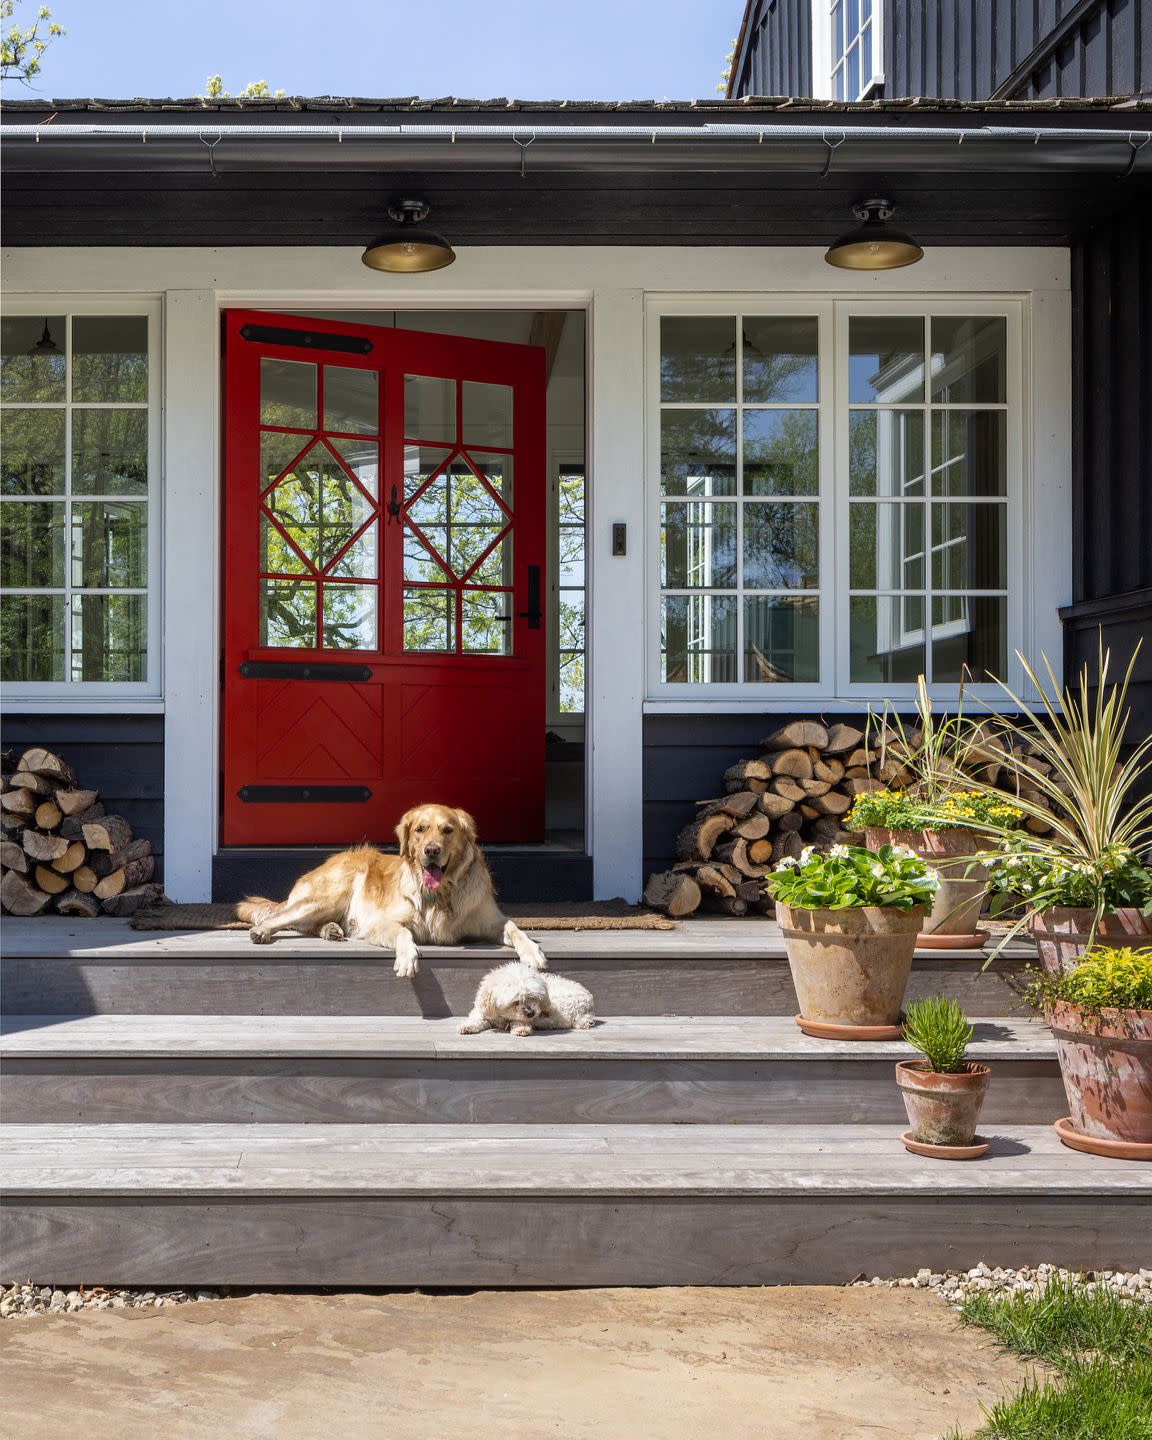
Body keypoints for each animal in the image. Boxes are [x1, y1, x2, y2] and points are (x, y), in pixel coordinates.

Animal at [457, 967, 599, 1036]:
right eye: (516, 1001)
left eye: (533, 997)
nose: (531, 1013)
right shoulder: (482, 1011)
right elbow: (476, 1019)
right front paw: (467, 1026)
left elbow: (519, 1020)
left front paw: (521, 1028)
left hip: (560, 1004)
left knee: (562, 1021)